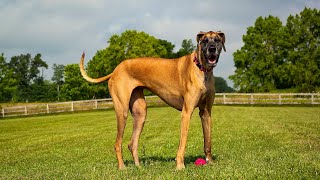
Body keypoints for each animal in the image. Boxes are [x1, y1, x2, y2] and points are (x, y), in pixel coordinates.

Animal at [79, 30, 225, 169]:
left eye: (217, 40)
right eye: (204, 41)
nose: (212, 49)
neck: (202, 70)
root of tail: (115, 70)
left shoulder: (206, 113)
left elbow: (208, 141)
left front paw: (210, 162)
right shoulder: (186, 112)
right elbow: (182, 143)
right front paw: (180, 166)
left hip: (140, 112)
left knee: (132, 143)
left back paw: (138, 167)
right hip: (122, 111)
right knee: (117, 143)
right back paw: (122, 167)